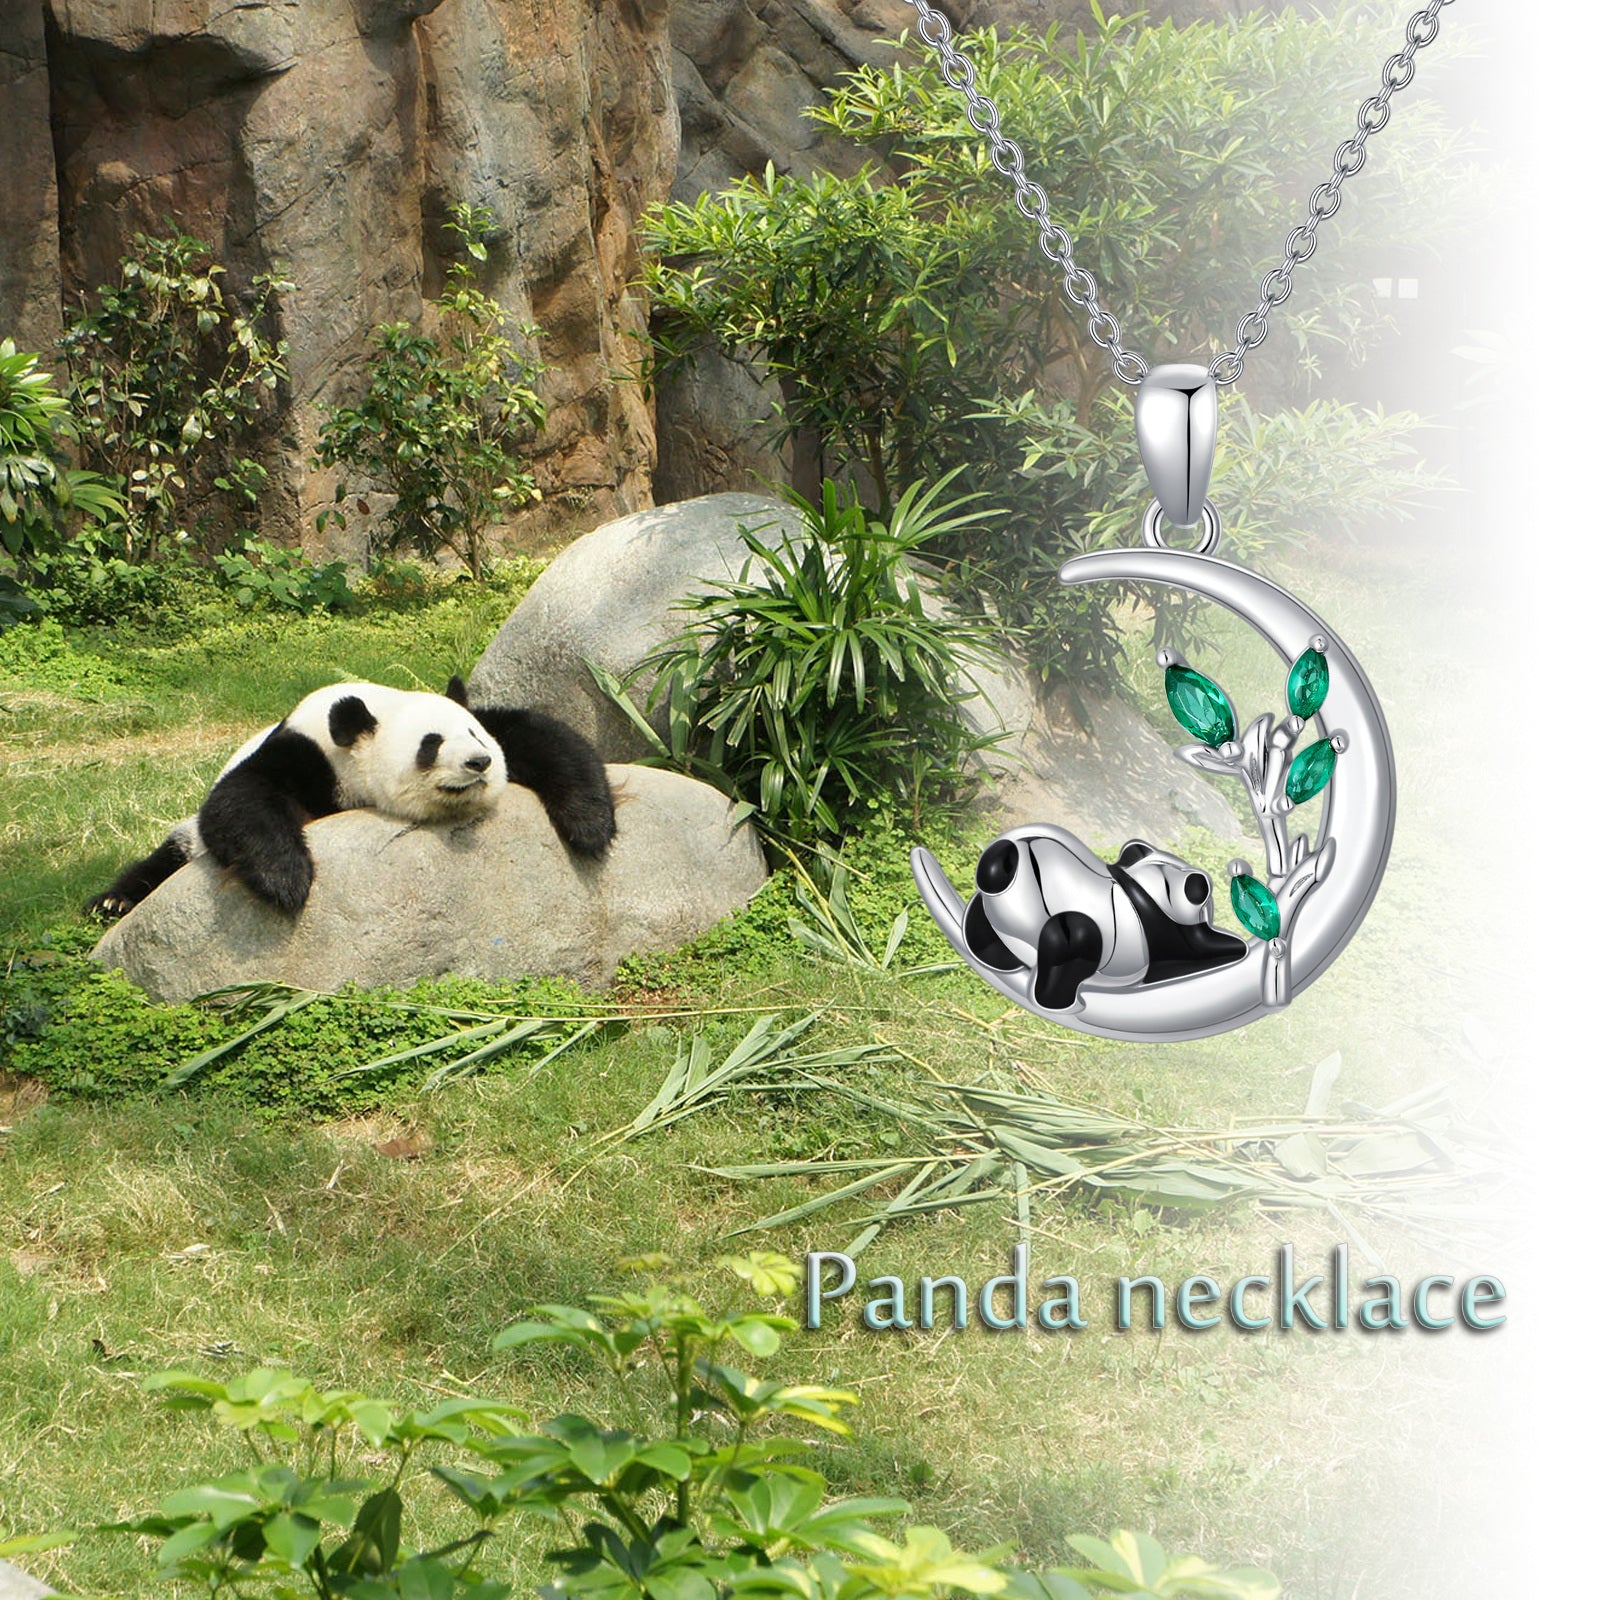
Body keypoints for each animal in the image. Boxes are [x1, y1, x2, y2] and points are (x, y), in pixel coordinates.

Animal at [88, 677, 615, 919]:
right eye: (431, 744)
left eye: (474, 735)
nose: (479, 762)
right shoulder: (304, 754)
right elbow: (238, 800)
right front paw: (287, 879)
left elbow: (545, 736)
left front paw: (590, 827)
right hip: (183, 845)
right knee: (172, 853)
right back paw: (112, 902)